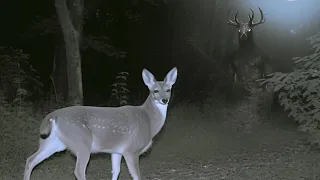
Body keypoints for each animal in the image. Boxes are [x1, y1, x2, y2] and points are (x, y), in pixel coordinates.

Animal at [23, 67, 179, 180]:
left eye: (168, 90)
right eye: (155, 91)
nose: (164, 100)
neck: (149, 121)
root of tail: (52, 115)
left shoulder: (117, 150)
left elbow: (115, 171)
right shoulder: (132, 150)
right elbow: (137, 176)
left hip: (54, 143)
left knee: (30, 160)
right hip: (81, 142)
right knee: (79, 171)